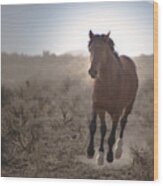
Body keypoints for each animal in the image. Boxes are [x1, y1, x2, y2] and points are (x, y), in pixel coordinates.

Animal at [87, 30, 138, 166]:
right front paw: (94, 153)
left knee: (123, 122)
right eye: (90, 49)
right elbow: (98, 128)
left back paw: (118, 150)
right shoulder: (98, 107)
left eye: (103, 50)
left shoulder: (117, 111)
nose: (92, 71)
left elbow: (111, 136)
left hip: (129, 105)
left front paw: (109, 156)